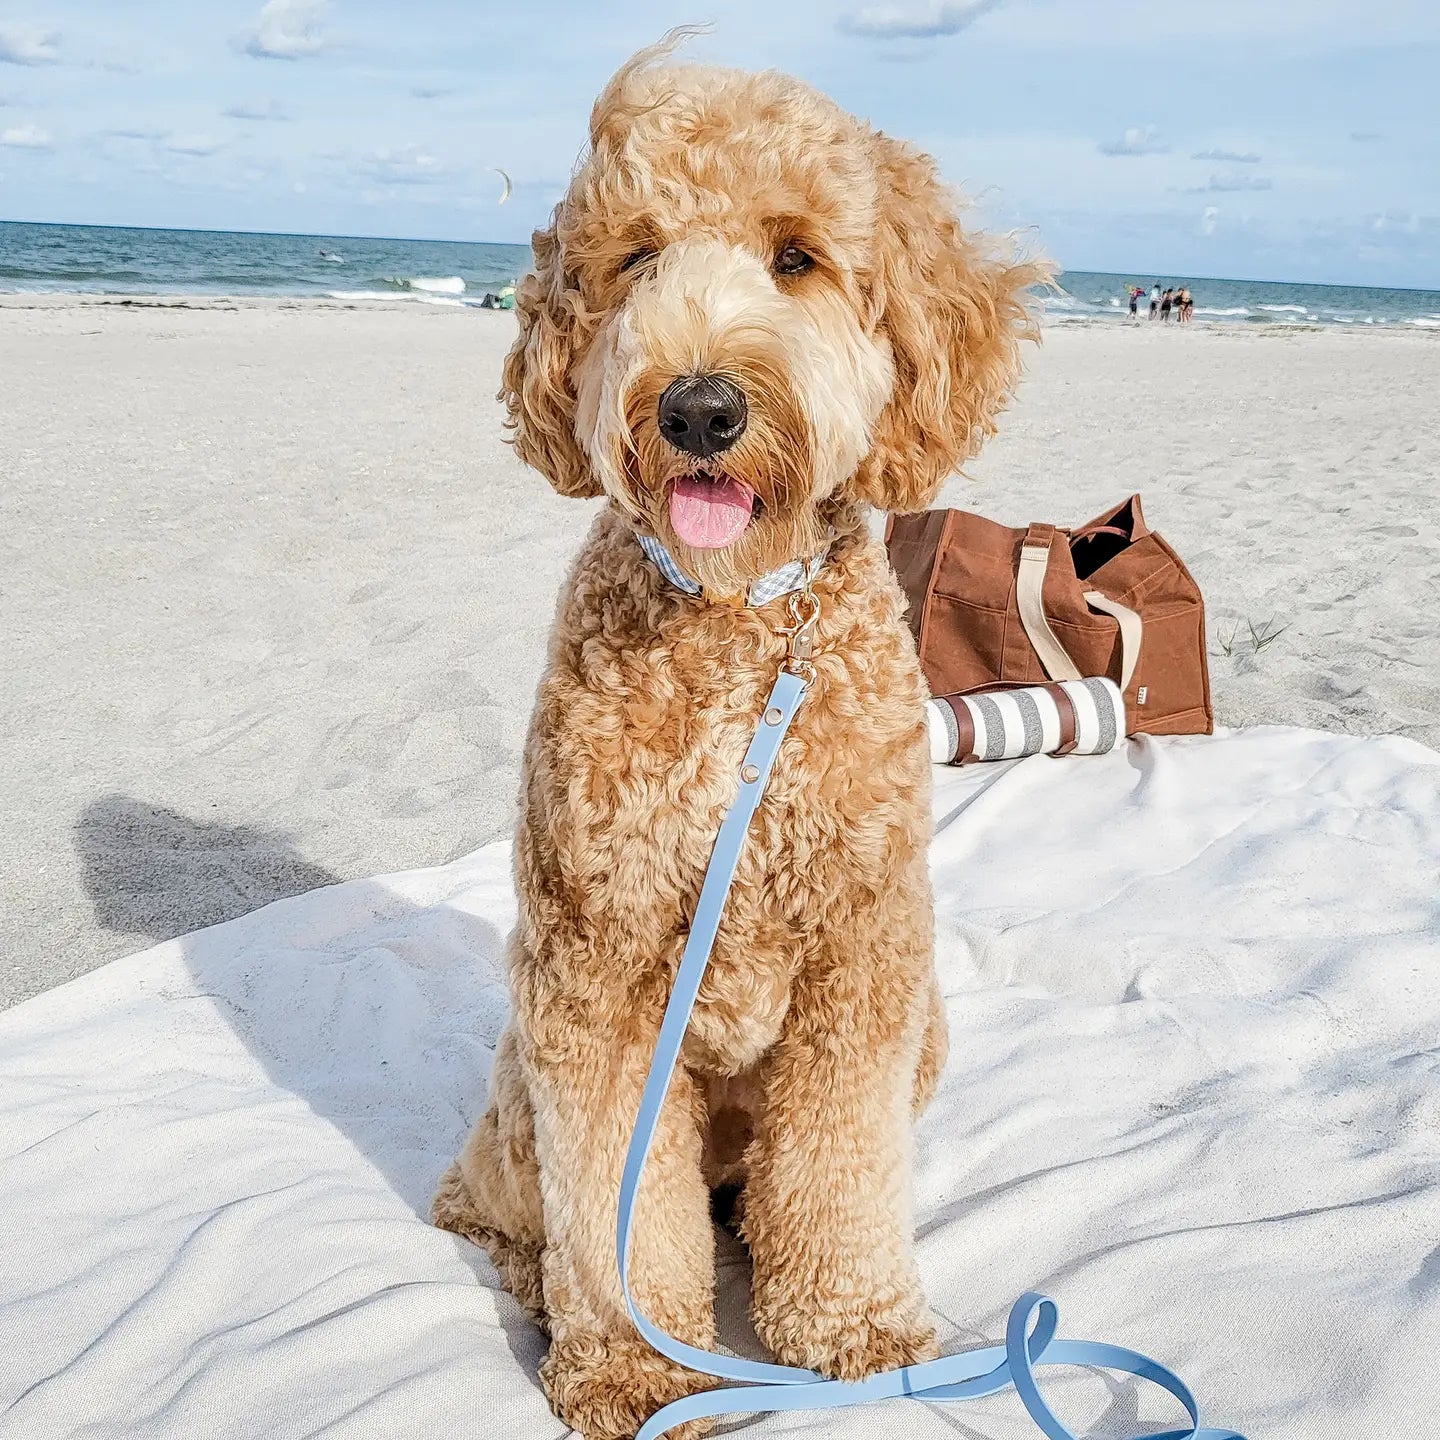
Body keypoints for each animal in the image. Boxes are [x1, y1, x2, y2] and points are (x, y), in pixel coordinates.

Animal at [432, 33, 1042, 1440]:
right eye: (637, 255)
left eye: (797, 257)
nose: (700, 410)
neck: (736, 626)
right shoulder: (595, 971)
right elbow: (613, 1204)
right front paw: (637, 1369)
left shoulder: (866, 950)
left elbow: (838, 1167)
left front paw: (855, 1332)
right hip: (518, 1068)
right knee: (501, 1200)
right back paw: (532, 1275)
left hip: (926, 1024)